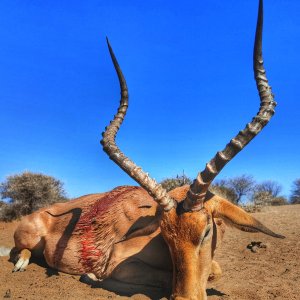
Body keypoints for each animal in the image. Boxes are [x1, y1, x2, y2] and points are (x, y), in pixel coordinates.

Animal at [7, 1, 284, 298]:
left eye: (207, 231)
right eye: (166, 237)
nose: (185, 297)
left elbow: (215, 270)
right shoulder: (120, 264)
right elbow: (167, 277)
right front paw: (91, 276)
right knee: (18, 251)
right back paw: (22, 263)